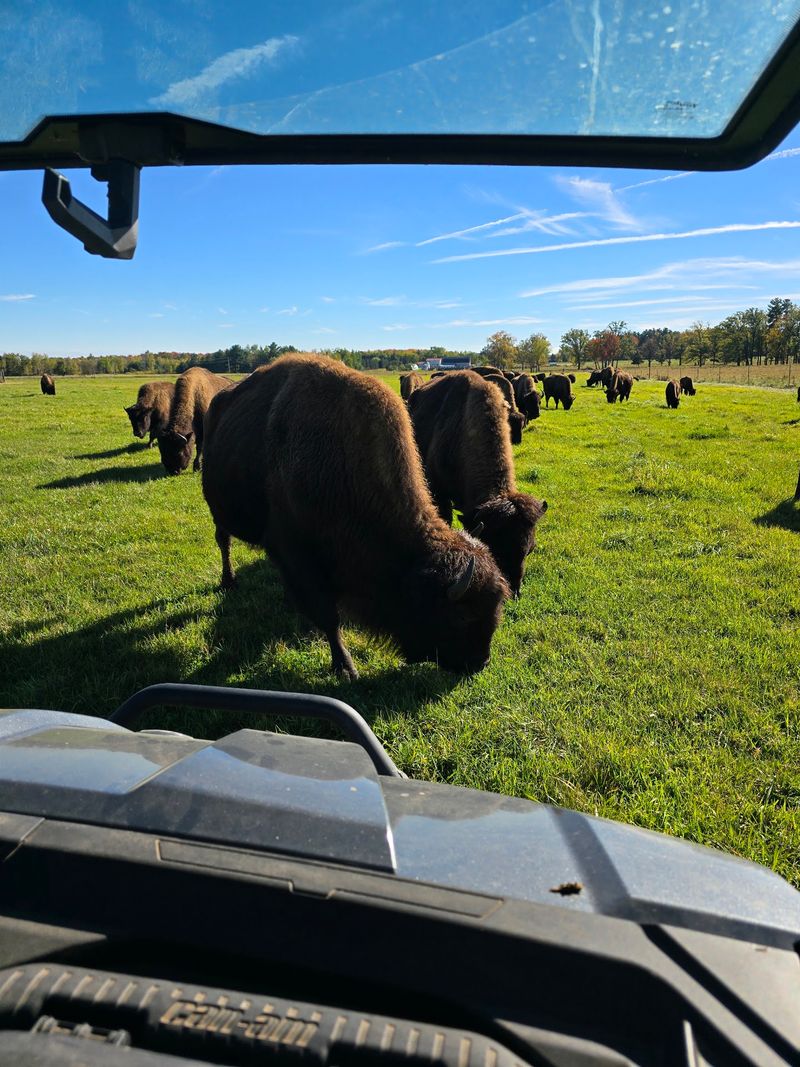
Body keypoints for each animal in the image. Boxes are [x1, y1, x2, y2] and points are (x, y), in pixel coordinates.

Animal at [201, 355, 509, 679]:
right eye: (461, 616)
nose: (479, 662)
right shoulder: (298, 555)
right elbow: (328, 617)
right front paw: (346, 668)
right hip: (217, 510)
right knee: (223, 541)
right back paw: (228, 581)